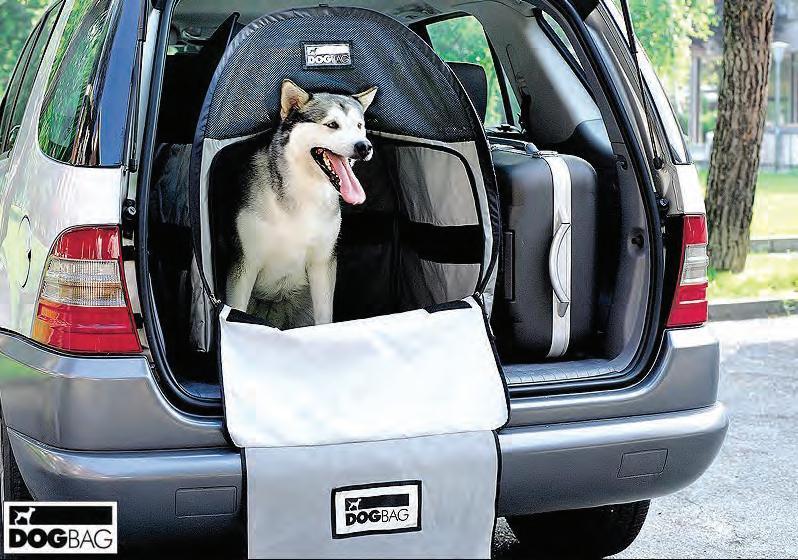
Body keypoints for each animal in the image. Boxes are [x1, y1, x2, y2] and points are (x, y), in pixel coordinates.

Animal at [225, 79, 377, 329]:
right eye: (332, 124)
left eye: (359, 126)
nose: (364, 146)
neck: (304, 192)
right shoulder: (245, 264)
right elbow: (236, 310)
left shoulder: (322, 264)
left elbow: (325, 318)